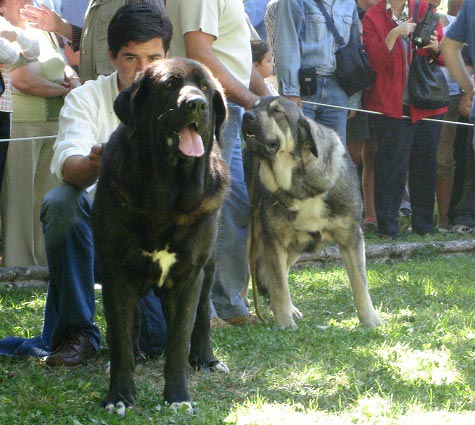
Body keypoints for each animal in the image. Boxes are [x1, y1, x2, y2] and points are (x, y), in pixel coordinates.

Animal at [92, 58, 231, 412]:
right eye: (170, 84)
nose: (196, 103)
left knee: (202, 318)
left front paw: (178, 397)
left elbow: (180, 340)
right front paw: (119, 397)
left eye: (206, 88)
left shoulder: (188, 276)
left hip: (209, 267)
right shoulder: (117, 271)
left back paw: (207, 360)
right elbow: (120, 337)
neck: (166, 201)